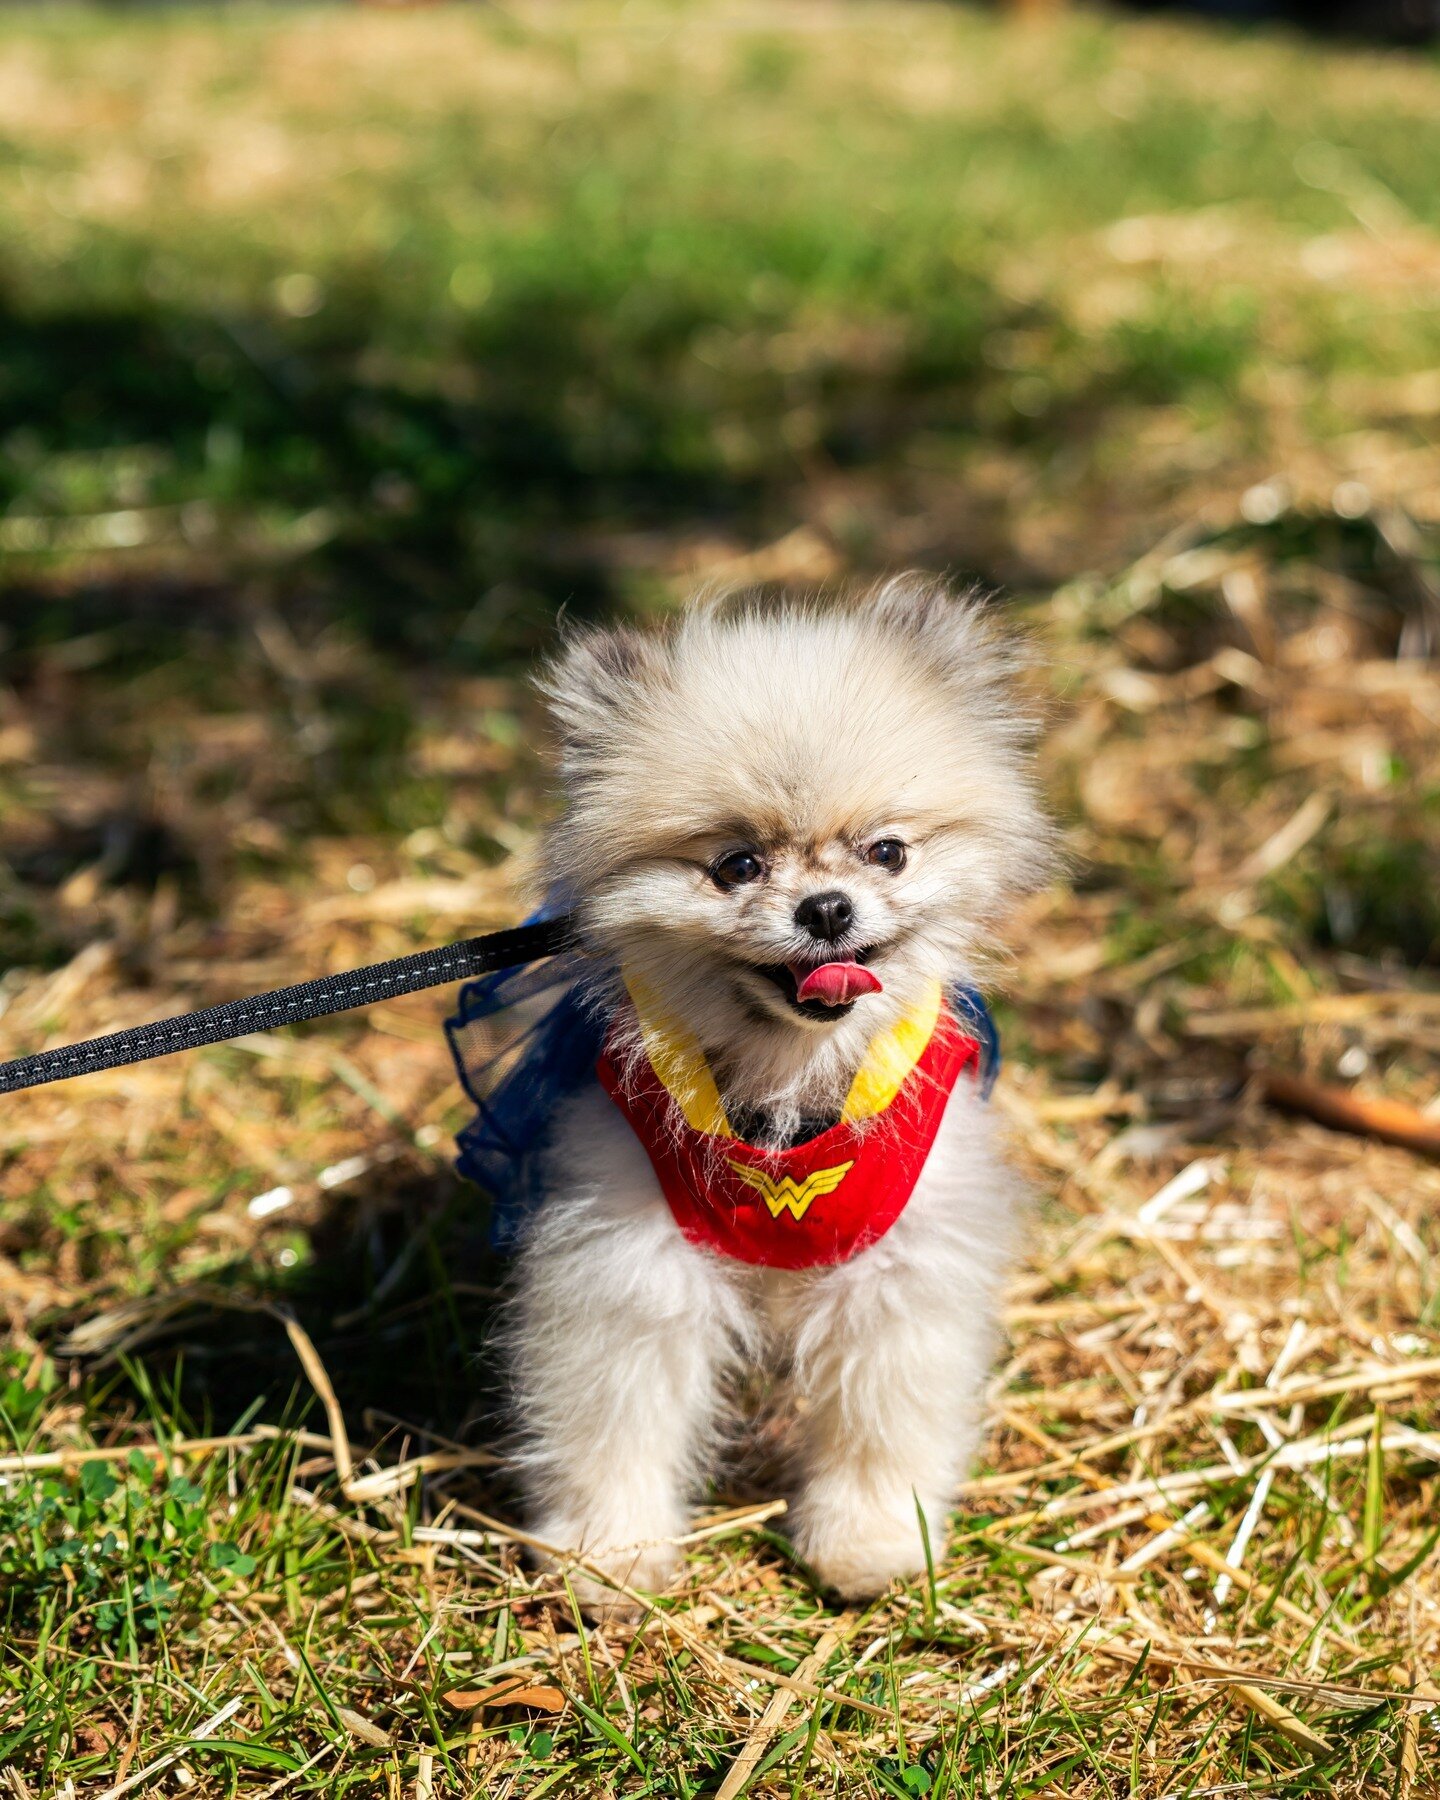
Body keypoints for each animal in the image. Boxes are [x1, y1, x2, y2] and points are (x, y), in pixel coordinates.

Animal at [511, 579, 1051, 1620]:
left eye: (888, 852)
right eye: (737, 865)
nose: (827, 908)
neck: (790, 1083)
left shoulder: (895, 1274)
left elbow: (884, 1421)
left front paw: (870, 1539)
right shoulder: (634, 1266)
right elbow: (618, 1417)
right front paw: (610, 1549)